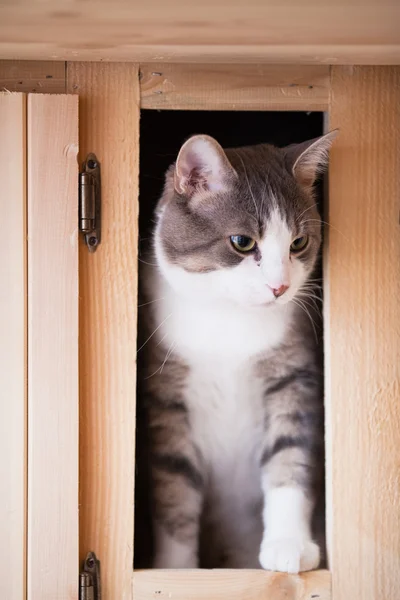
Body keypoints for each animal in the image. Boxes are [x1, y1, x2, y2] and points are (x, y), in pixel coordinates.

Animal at [135, 131, 338, 572]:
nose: (280, 287)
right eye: (242, 243)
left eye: (299, 242)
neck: (229, 318)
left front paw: (288, 544)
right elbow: (174, 487)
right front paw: (175, 570)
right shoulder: (167, 398)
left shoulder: (294, 376)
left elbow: (290, 453)